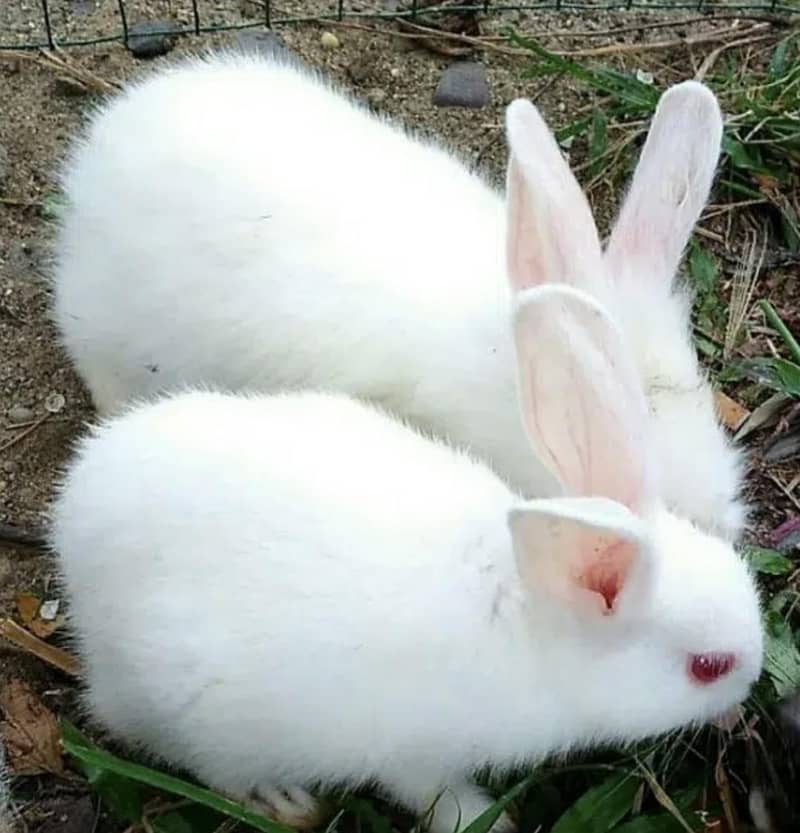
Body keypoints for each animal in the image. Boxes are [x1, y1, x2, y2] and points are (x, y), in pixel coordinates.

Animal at [50, 282, 763, 833]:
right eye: (708, 667)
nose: (748, 693)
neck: (530, 622)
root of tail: (72, 518)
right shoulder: (413, 750)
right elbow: (432, 794)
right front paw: (490, 822)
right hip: (191, 709)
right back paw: (282, 800)